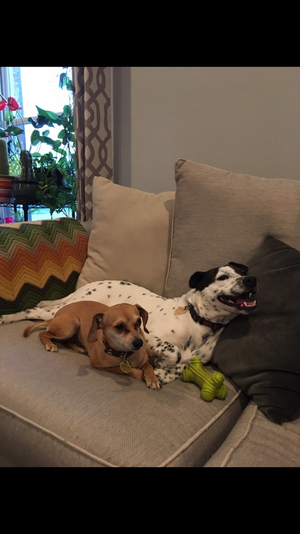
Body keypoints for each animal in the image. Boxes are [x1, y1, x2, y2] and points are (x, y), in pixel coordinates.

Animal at [23, 304, 161, 392]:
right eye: (120, 326)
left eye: (138, 322)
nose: (139, 343)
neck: (125, 354)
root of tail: (56, 314)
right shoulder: (99, 365)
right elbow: (121, 369)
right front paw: (139, 373)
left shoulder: (144, 359)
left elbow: (148, 365)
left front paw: (152, 379)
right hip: (71, 325)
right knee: (43, 333)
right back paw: (50, 344)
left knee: (66, 342)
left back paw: (80, 348)